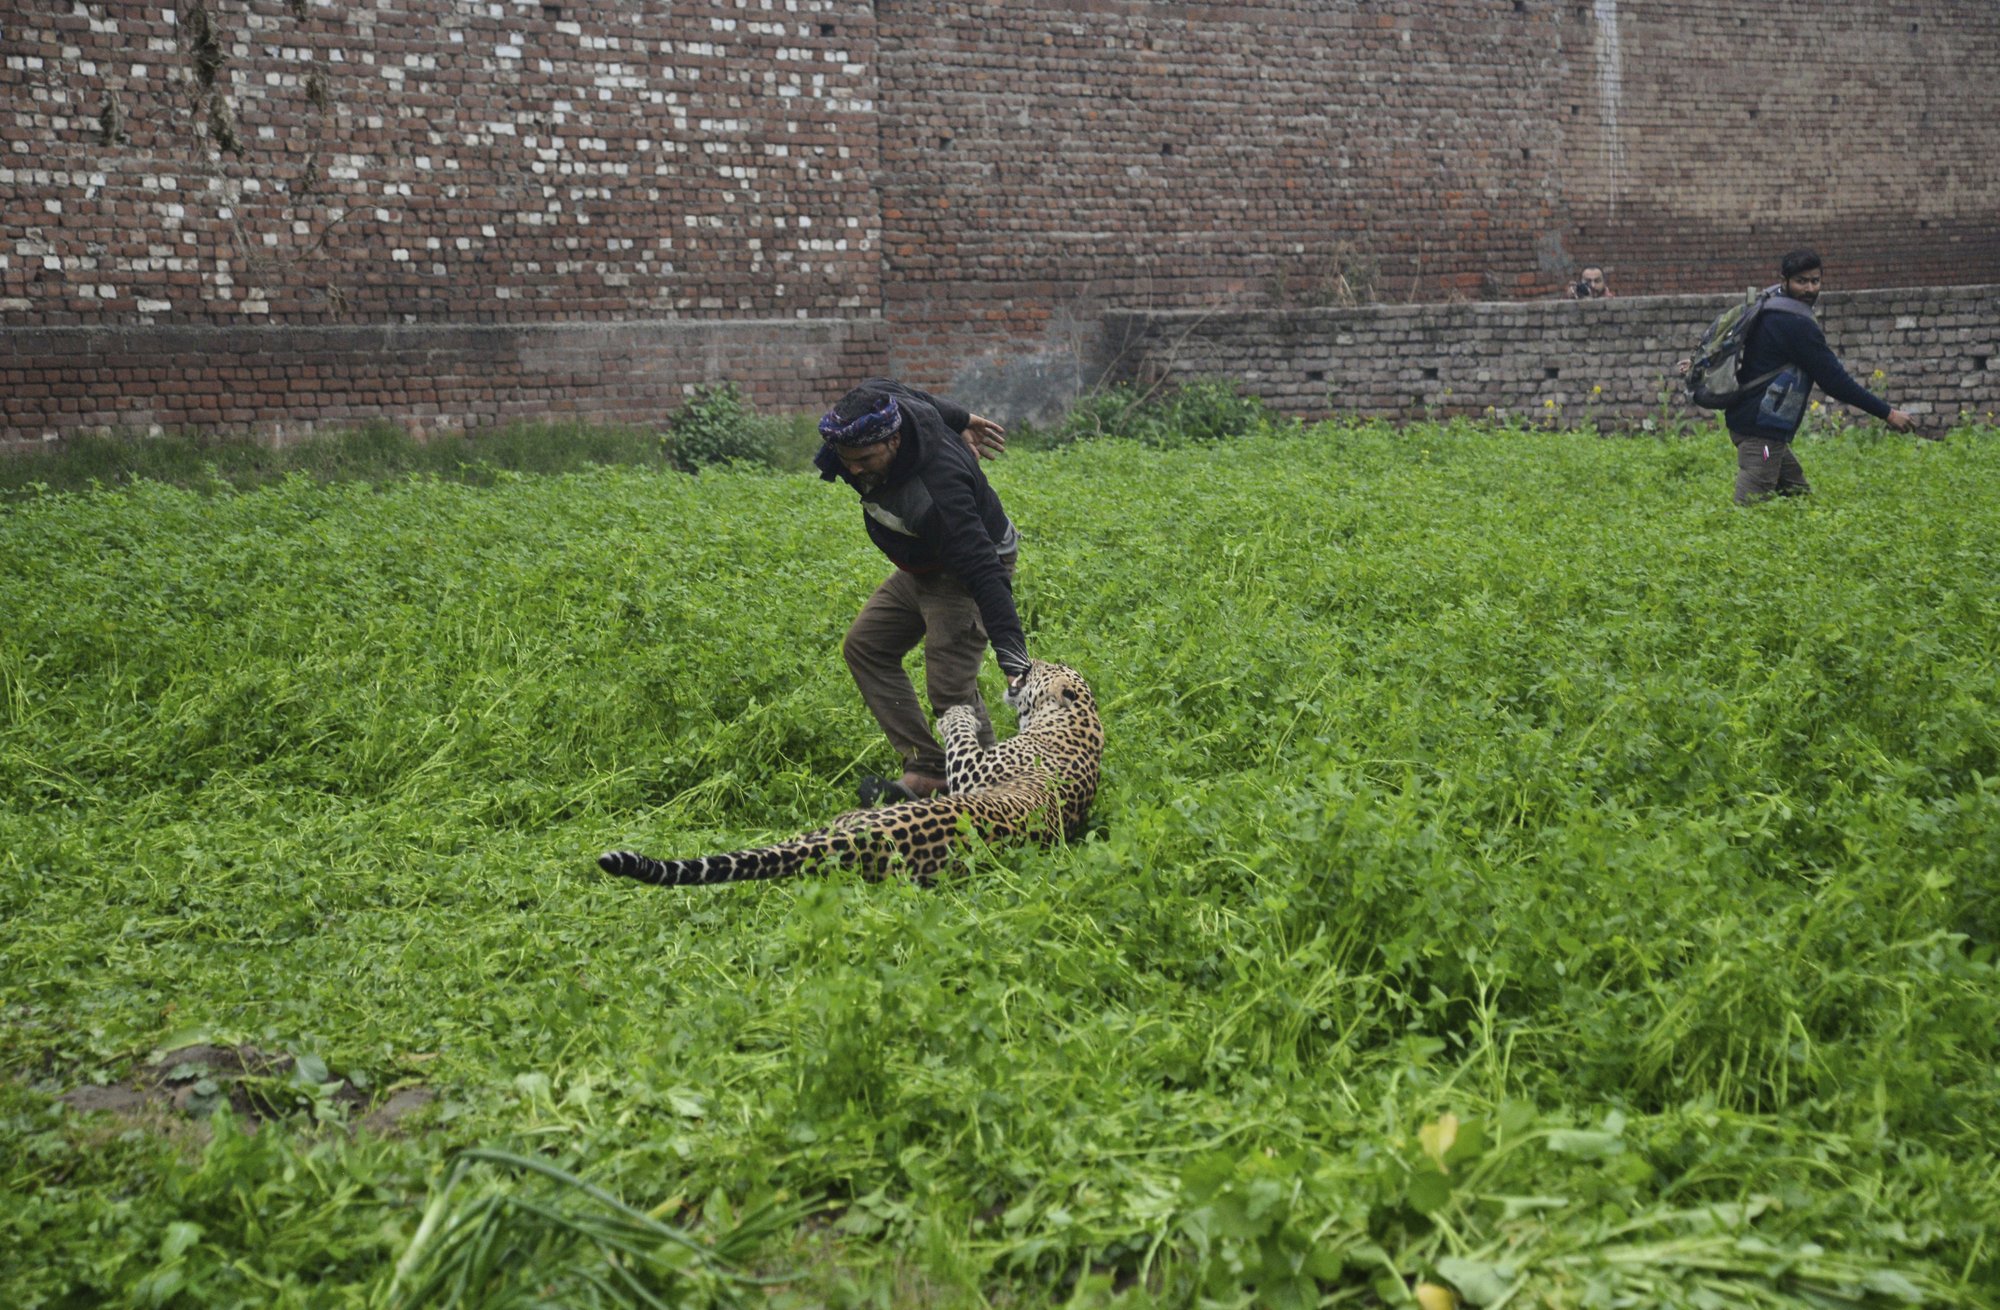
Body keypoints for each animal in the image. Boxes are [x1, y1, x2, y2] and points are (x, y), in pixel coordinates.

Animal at [596, 659, 1102, 888]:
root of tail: (863, 841)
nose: (1024, 662)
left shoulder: (975, 770)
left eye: (1043, 668)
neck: (1077, 721)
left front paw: (955, 714)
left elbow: (960, 739)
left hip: (839, 823)